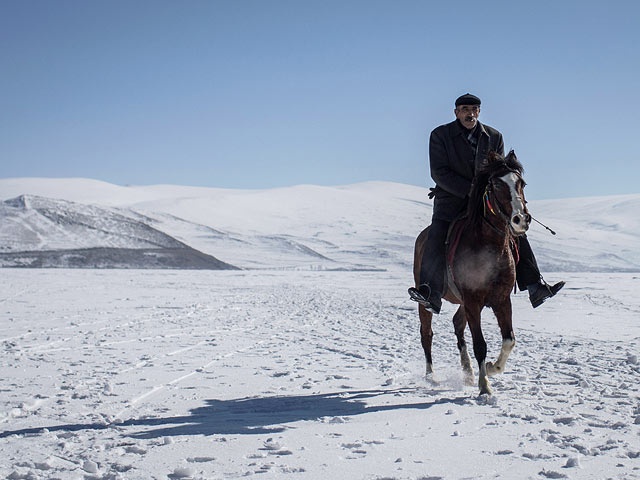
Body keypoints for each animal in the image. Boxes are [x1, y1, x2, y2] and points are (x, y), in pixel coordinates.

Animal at [416, 152, 528, 396]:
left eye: (521, 183)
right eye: (497, 184)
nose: (521, 219)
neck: (489, 246)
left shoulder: (501, 300)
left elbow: (509, 340)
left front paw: (492, 368)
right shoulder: (474, 301)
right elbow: (480, 345)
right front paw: (484, 386)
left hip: (463, 302)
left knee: (458, 324)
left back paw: (467, 371)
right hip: (427, 300)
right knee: (426, 334)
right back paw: (430, 376)